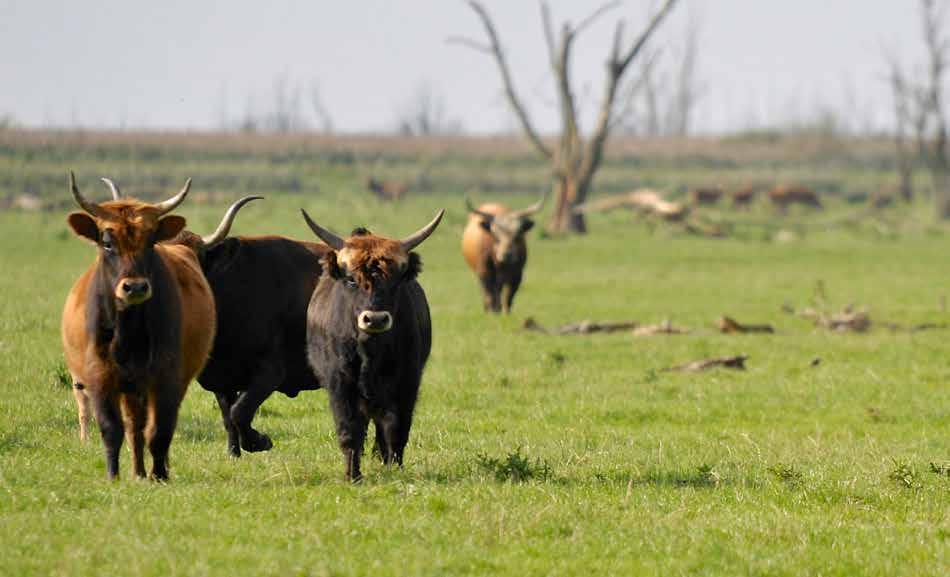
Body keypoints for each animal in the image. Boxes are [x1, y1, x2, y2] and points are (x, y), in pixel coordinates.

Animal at [64, 173, 217, 480]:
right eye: (107, 242)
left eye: (150, 241)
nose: (134, 287)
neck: (128, 331)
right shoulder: (101, 378)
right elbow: (112, 429)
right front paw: (113, 477)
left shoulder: (167, 376)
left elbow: (159, 431)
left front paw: (160, 476)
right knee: (132, 426)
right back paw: (137, 472)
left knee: (144, 426)